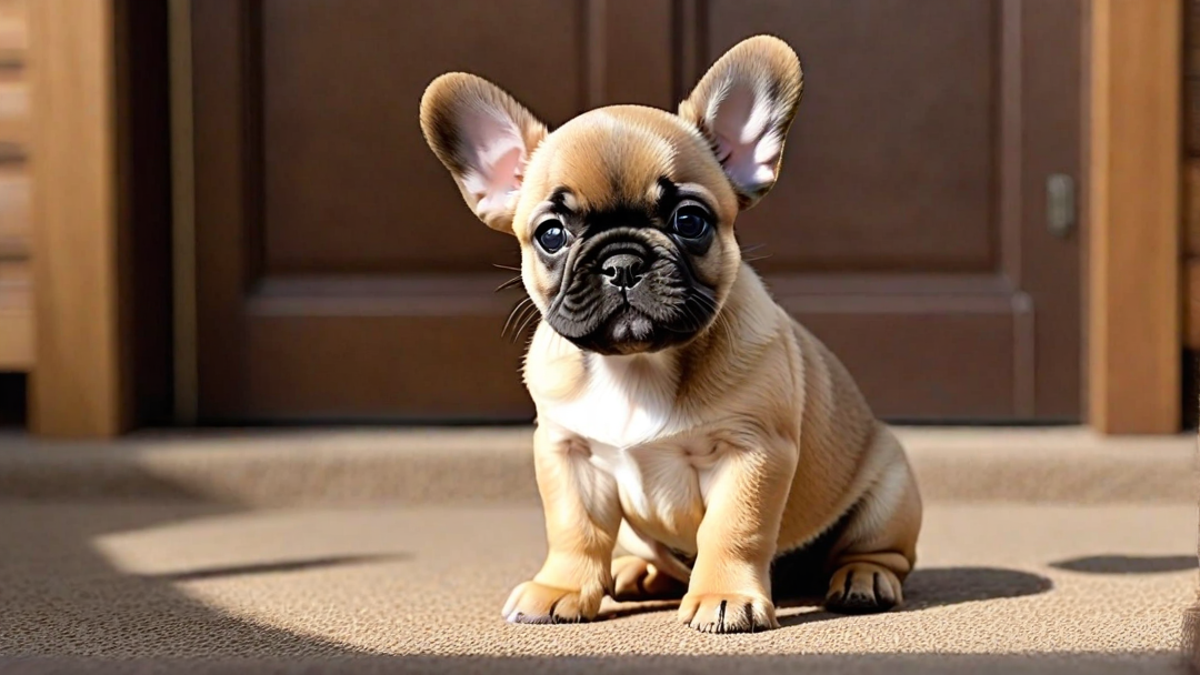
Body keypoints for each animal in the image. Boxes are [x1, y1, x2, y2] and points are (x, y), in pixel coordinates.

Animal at [424, 32, 926, 629]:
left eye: (690, 221)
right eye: (551, 234)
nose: (621, 262)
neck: (637, 365)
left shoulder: (751, 451)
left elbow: (732, 528)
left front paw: (725, 596)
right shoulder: (567, 453)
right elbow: (574, 529)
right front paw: (560, 587)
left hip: (889, 490)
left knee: (878, 551)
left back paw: (862, 579)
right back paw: (636, 572)